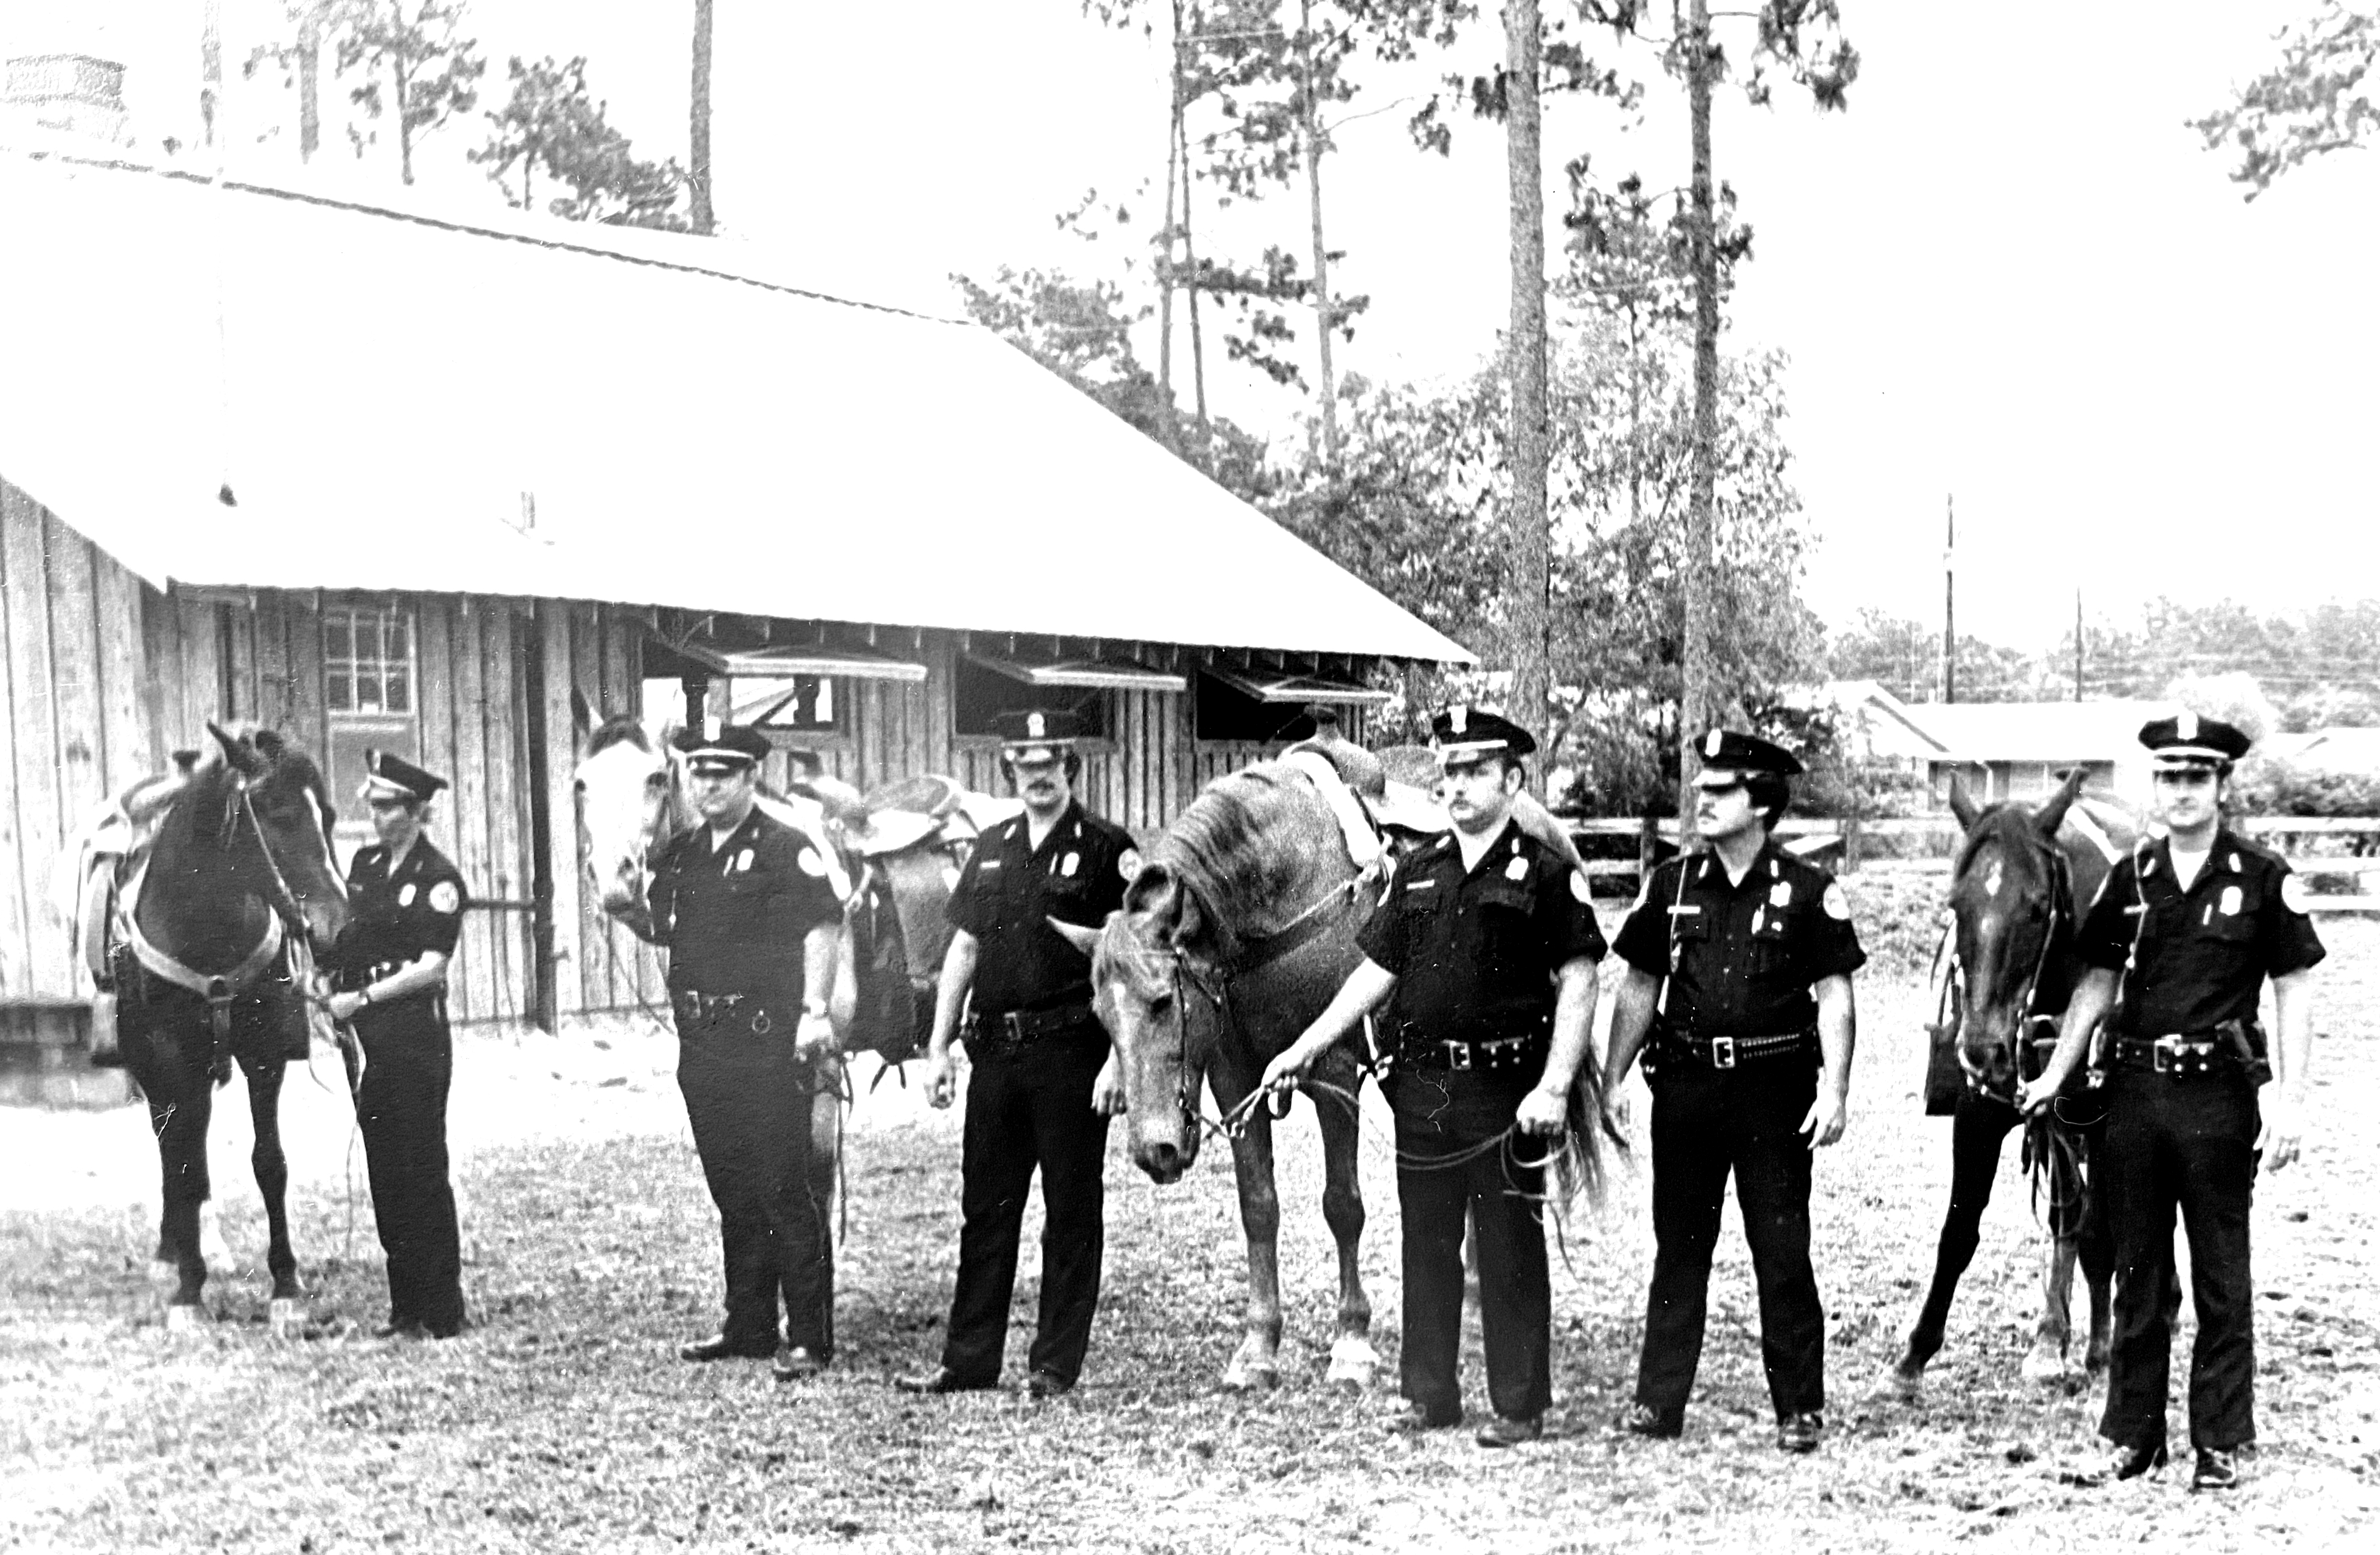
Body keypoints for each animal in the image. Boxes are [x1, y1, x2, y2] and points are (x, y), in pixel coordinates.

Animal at [101, 724, 349, 1323]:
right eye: (278, 812)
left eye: (329, 815)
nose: (337, 926)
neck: (206, 927)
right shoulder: (169, 1059)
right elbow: (183, 1165)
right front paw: (189, 1290)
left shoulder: (264, 1055)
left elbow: (269, 1162)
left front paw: (286, 1284)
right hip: (156, 1068)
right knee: (172, 1148)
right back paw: (172, 1254)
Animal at [1885, 771, 2132, 1390]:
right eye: (1957, 903)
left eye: (2037, 907)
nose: (1981, 1047)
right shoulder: (1981, 1111)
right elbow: (1958, 1231)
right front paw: (1913, 1354)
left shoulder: (2097, 1122)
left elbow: (2096, 1232)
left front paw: (2093, 1345)